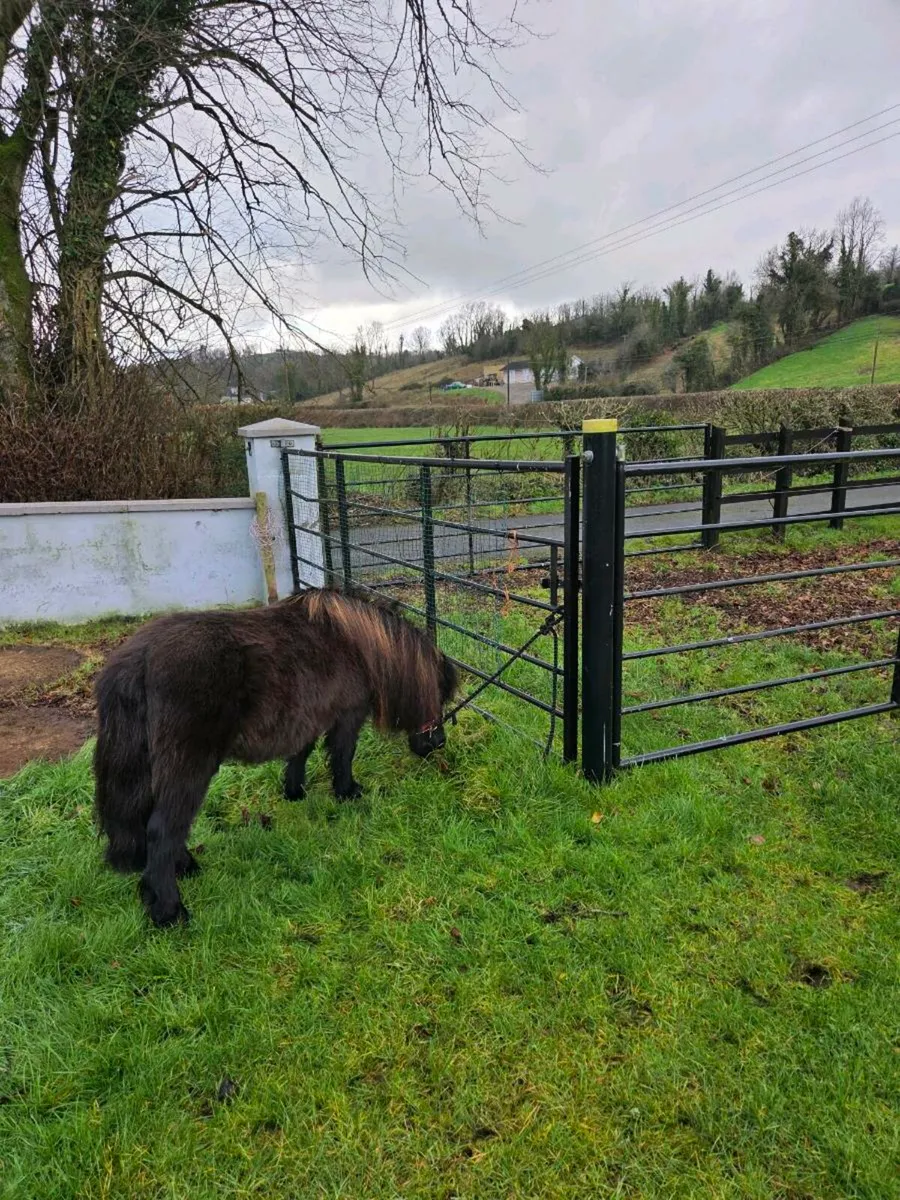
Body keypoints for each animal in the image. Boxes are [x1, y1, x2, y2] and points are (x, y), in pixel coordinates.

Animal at [93, 588, 458, 927]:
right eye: (439, 694)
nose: (437, 743)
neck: (355, 644)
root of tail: (138, 659)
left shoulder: (308, 716)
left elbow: (300, 752)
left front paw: (295, 791)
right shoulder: (347, 716)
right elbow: (342, 755)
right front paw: (348, 793)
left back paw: (182, 869)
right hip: (188, 767)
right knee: (162, 829)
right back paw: (170, 911)